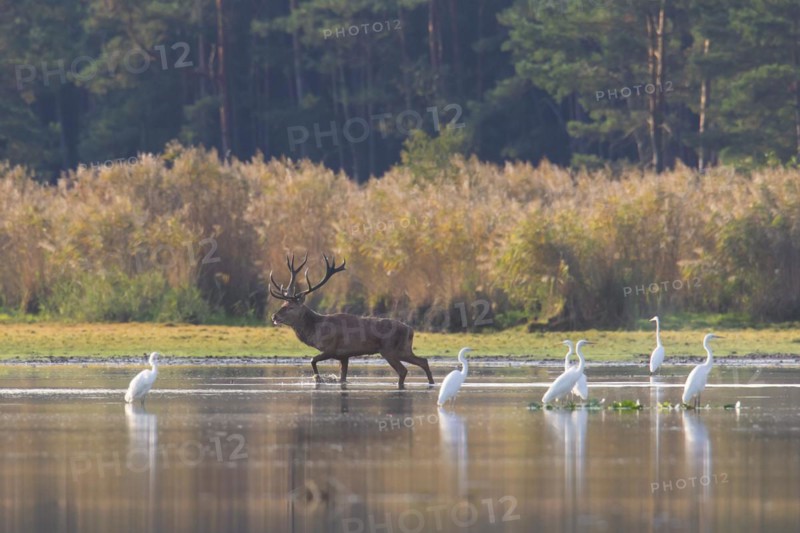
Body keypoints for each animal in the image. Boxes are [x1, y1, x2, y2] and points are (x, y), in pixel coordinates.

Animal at [269, 254, 435, 389]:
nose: (274, 316)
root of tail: (410, 330)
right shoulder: (344, 356)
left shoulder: (331, 348)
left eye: (290, 307)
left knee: (403, 370)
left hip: (389, 349)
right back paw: (431, 383)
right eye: (282, 304)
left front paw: (319, 379)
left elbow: (312, 360)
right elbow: (343, 377)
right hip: (404, 349)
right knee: (423, 361)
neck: (316, 330)